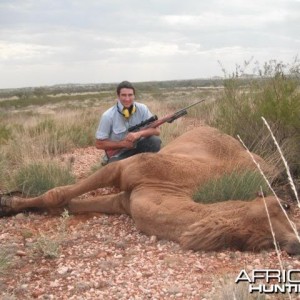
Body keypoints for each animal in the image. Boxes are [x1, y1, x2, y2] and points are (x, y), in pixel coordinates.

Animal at [1, 125, 298, 254]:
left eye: (262, 244)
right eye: (282, 207)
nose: (295, 245)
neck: (170, 188)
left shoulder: (122, 202)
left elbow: (65, 204)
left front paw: (11, 204)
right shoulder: (122, 170)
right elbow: (59, 194)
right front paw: (7, 204)